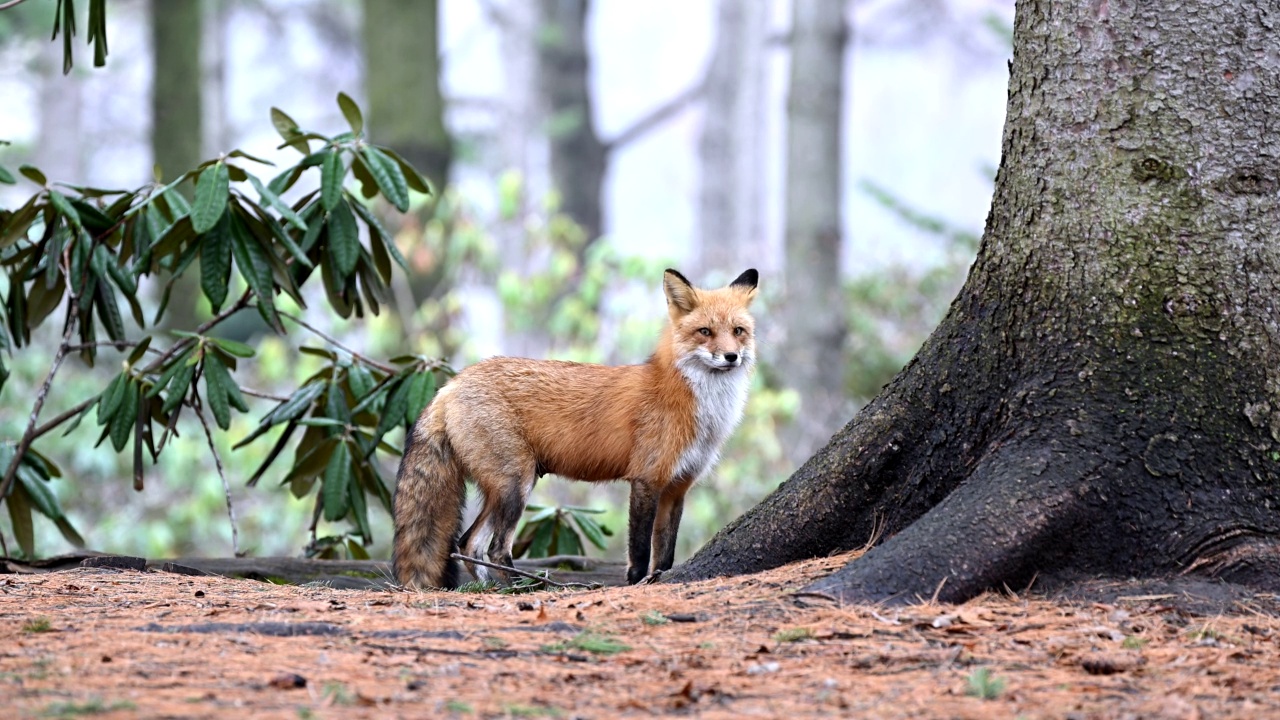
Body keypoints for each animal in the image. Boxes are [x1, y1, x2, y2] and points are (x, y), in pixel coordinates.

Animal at [389, 266, 757, 586]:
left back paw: (492, 589)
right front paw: (636, 584)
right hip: (516, 484)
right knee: (495, 549)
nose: (731, 357)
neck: (698, 407)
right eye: (705, 332)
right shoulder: (646, 479)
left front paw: (659, 579)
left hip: (506, 487)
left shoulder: (677, 487)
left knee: (469, 544)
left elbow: (665, 554)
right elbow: (639, 552)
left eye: (738, 332)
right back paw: (527, 588)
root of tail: (451, 384)